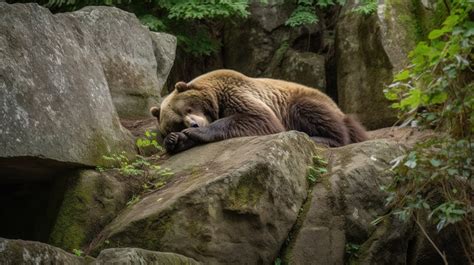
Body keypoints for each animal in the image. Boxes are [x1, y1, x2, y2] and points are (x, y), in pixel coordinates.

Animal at [150, 69, 368, 154]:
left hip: (301, 100)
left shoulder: (235, 92)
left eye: (188, 107)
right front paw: (176, 140)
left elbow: (258, 118)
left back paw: (320, 138)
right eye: (177, 122)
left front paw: (196, 132)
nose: (194, 123)